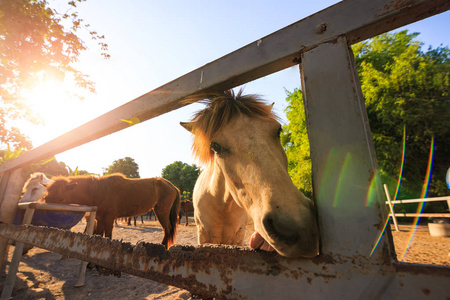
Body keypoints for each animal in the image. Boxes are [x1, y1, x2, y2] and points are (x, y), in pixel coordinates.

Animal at [43, 173, 181, 248]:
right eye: (46, 198)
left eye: (62, 198)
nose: (49, 224)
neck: (98, 192)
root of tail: (172, 186)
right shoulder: (100, 220)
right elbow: (99, 236)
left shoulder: (109, 220)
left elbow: (108, 237)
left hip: (161, 212)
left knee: (167, 229)